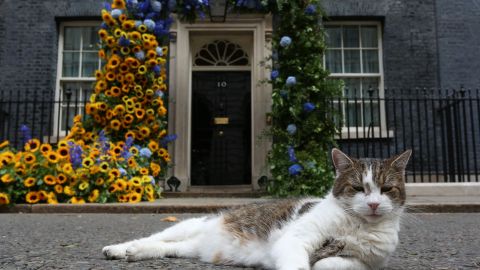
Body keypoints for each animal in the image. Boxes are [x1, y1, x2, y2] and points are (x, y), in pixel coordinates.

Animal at [103, 149, 410, 268]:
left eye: (386, 189)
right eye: (358, 188)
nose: (373, 203)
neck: (358, 226)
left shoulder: (367, 261)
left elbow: (332, 261)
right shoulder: (296, 237)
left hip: (190, 248)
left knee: (166, 248)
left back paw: (135, 253)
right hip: (188, 225)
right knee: (154, 237)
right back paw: (118, 249)